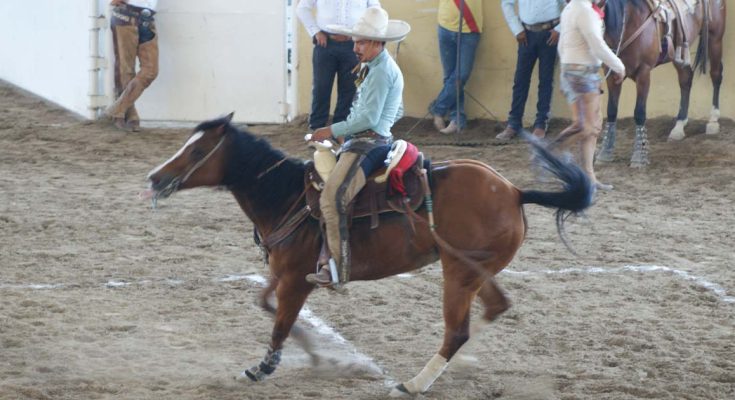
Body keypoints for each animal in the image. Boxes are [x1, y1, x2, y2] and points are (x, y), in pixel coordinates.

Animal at [145, 113, 600, 396]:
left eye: (196, 151)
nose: (154, 178)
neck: (287, 197)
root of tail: (514, 190)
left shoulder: (295, 280)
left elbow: (279, 323)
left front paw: (265, 367)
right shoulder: (281, 275)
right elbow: (267, 305)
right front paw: (317, 354)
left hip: (457, 272)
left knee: (457, 330)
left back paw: (414, 384)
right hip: (474, 270)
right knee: (494, 308)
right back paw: (456, 366)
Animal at [600, 0, 728, 167]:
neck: (629, 21)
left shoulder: (644, 72)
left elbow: (639, 112)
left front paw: (639, 156)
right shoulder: (611, 73)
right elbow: (611, 111)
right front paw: (605, 151)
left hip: (715, 38)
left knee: (716, 74)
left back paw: (713, 120)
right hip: (680, 52)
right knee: (686, 79)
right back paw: (679, 126)